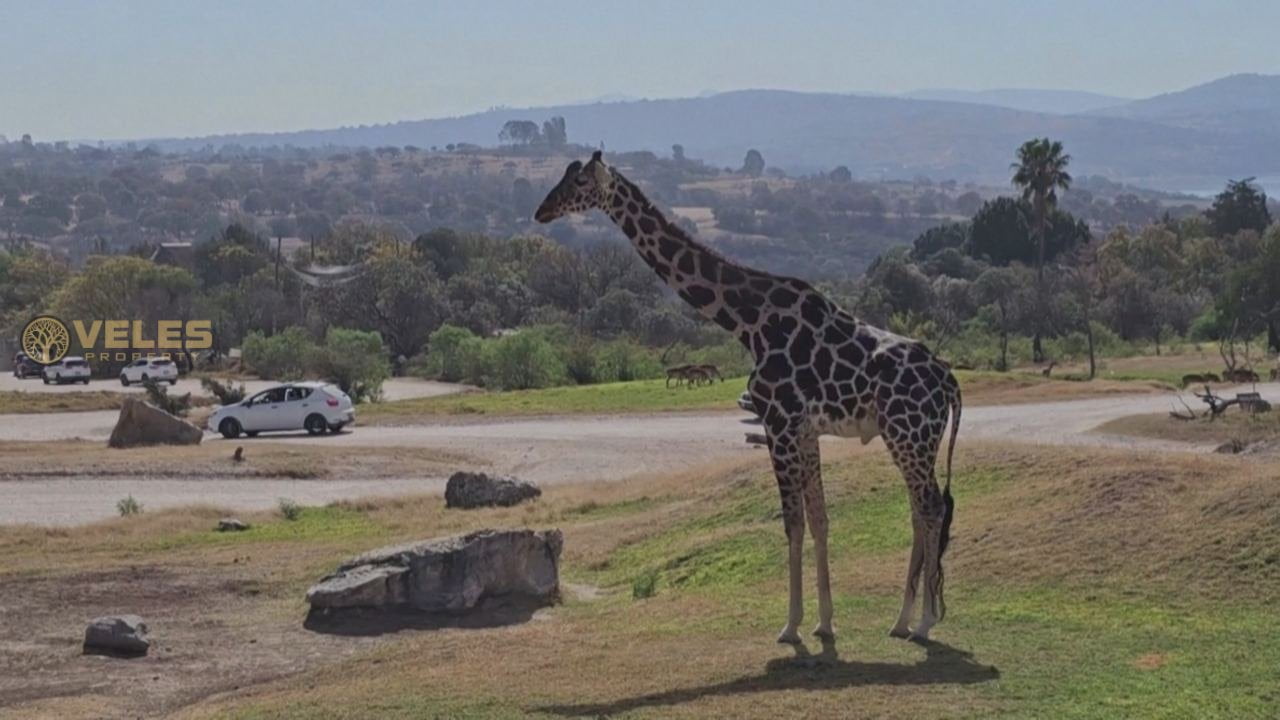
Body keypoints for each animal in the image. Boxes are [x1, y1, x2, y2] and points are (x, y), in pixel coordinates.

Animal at [535, 149, 962, 638]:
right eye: (565, 177)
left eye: (581, 181)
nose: (542, 210)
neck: (749, 322)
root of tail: (948, 382)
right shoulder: (804, 431)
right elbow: (819, 519)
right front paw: (824, 622)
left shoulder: (778, 423)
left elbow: (792, 523)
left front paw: (791, 625)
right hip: (914, 439)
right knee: (920, 508)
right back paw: (902, 619)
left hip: (909, 435)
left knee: (931, 506)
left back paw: (924, 621)